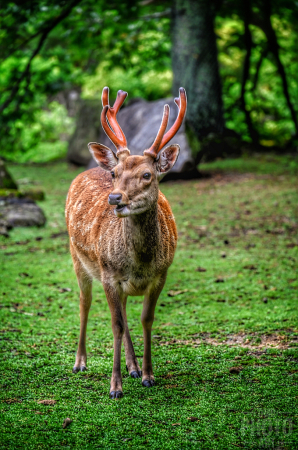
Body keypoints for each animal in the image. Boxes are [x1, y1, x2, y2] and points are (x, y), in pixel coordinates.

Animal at [65, 85, 186, 398]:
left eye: (147, 175)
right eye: (115, 174)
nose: (115, 198)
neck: (140, 262)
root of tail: (88, 168)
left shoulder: (160, 275)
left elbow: (145, 319)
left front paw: (147, 374)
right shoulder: (109, 275)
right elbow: (116, 325)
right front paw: (115, 387)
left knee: (125, 311)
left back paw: (133, 367)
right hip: (77, 257)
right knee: (84, 303)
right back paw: (80, 362)